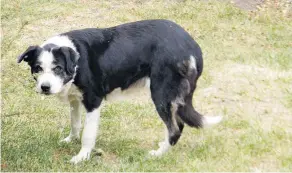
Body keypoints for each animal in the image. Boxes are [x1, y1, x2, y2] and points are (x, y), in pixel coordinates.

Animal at [17, 18, 221, 164]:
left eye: (58, 68)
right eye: (37, 68)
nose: (45, 87)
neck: (75, 61)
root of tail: (192, 46)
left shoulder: (93, 101)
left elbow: (87, 135)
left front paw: (82, 157)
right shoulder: (75, 99)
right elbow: (75, 124)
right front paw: (70, 140)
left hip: (162, 94)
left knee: (175, 128)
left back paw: (158, 154)